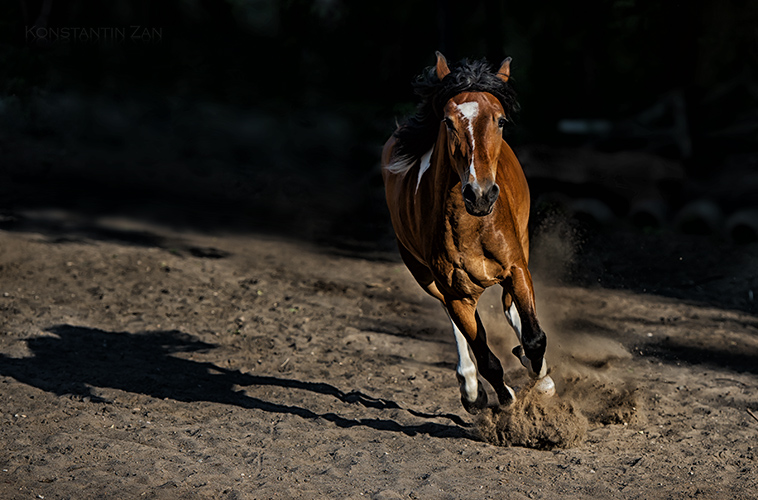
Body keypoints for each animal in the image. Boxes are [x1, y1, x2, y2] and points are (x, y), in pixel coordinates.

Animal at [382, 52, 556, 414]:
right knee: (458, 324)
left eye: (501, 121)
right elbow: (486, 356)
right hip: (426, 277)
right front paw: (503, 399)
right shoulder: (455, 293)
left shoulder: (517, 268)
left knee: (511, 311)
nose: (481, 194)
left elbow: (534, 337)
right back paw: (472, 389)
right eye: (448, 122)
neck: (472, 226)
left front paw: (540, 379)